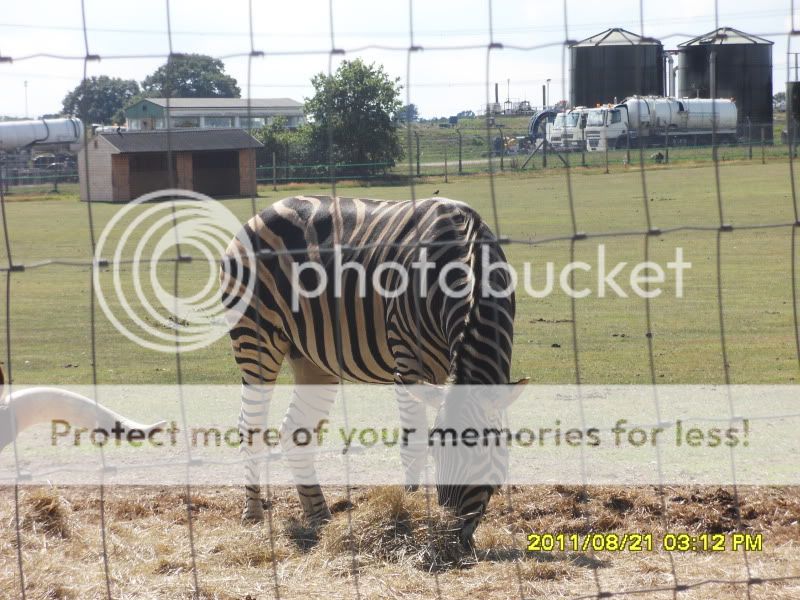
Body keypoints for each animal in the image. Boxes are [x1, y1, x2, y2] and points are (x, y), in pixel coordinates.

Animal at [222, 195, 528, 548]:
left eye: (483, 454)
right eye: (437, 455)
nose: (452, 538)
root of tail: (263, 212)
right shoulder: (408, 362)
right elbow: (413, 445)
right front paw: (406, 514)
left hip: (311, 359)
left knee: (295, 431)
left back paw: (319, 517)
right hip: (254, 338)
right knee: (250, 426)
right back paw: (253, 517)